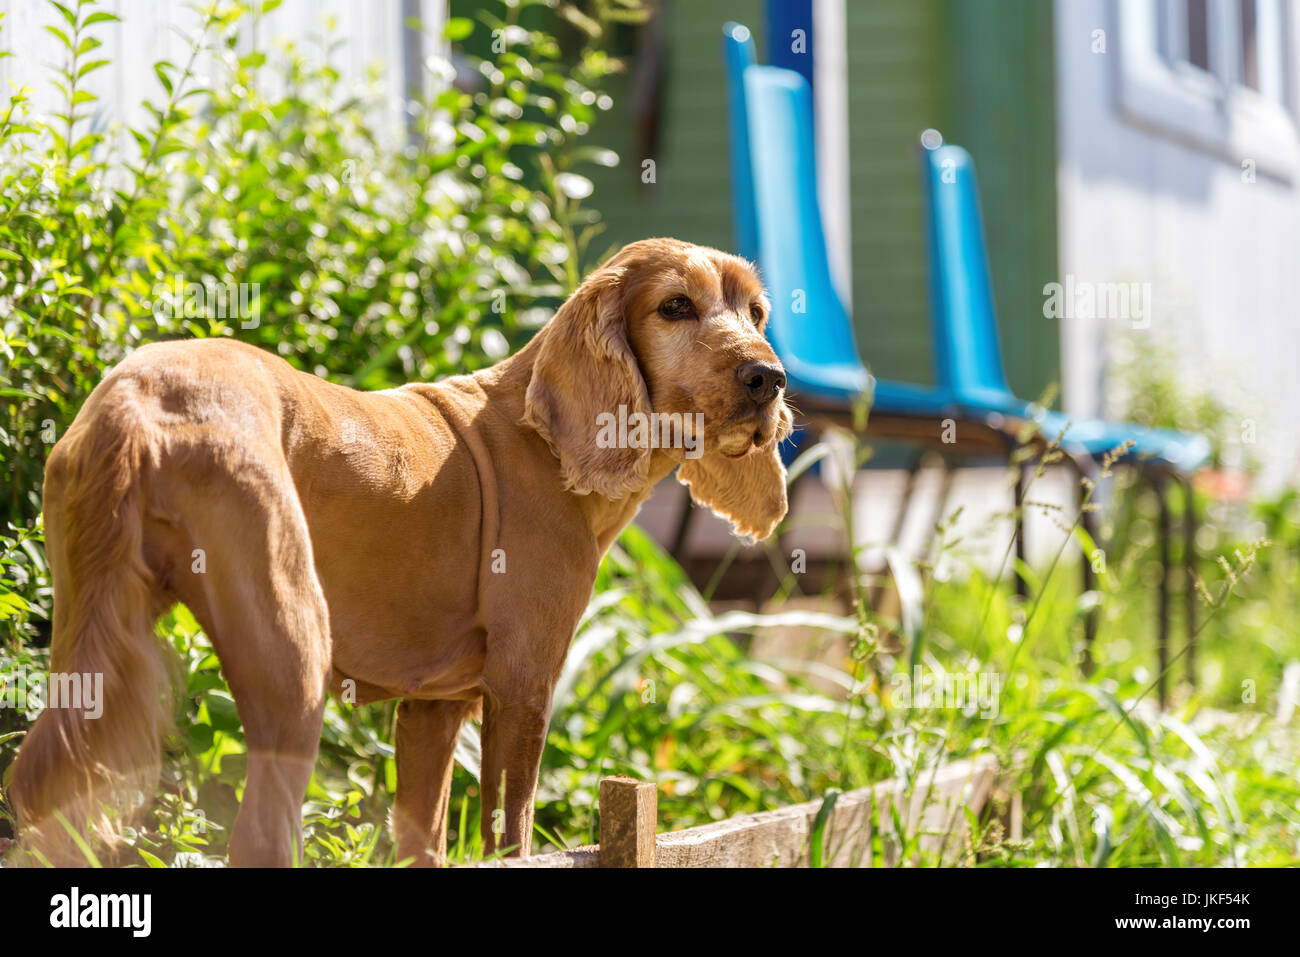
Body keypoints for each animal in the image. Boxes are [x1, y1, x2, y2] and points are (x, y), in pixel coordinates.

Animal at [5, 235, 790, 863]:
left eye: (755, 313)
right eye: (675, 307)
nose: (769, 378)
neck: (541, 440)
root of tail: (136, 399)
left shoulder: (431, 710)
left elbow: (425, 839)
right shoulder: (523, 688)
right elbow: (512, 835)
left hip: (90, 644)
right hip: (294, 663)